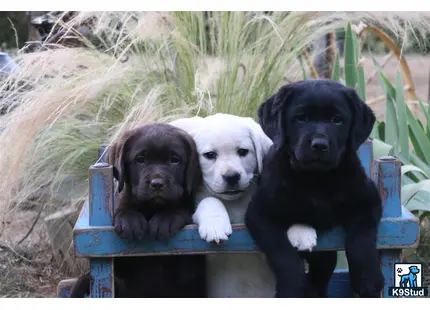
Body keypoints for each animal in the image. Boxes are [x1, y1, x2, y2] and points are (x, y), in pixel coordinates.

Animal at [70, 123, 207, 298]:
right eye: (140, 160)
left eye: (174, 160)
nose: (157, 184)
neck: (151, 208)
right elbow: (125, 208)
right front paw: (130, 221)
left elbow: (180, 208)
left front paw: (165, 219)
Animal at [170, 114, 316, 298]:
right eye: (209, 155)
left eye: (243, 152)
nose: (231, 176)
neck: (234, 203)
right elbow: (210, 200)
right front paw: (215, 226)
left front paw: (301, 229)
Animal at [245, 80, 382, 298]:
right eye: (301, 118)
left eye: (337, 120)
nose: (319, 144)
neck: (316, 180)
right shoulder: (260, 215)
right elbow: (283, 254)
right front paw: (291, 288)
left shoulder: (368, 201)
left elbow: (361, 240)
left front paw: (367, 281)